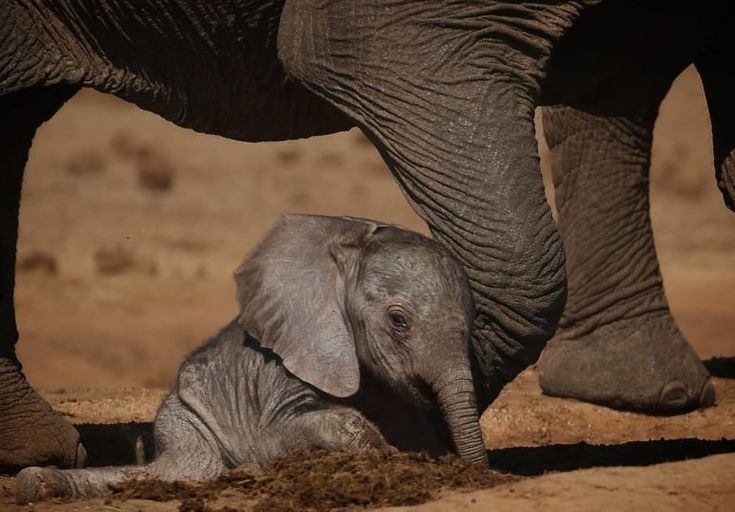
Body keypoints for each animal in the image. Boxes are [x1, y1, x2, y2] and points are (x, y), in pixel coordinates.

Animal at [15, 214, 488, 502]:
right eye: (398, 322)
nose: (478, 476)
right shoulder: (286, 368)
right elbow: (277, 436)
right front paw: (383, 454)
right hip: (185, 421)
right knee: (191, 467)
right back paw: (33, 485)